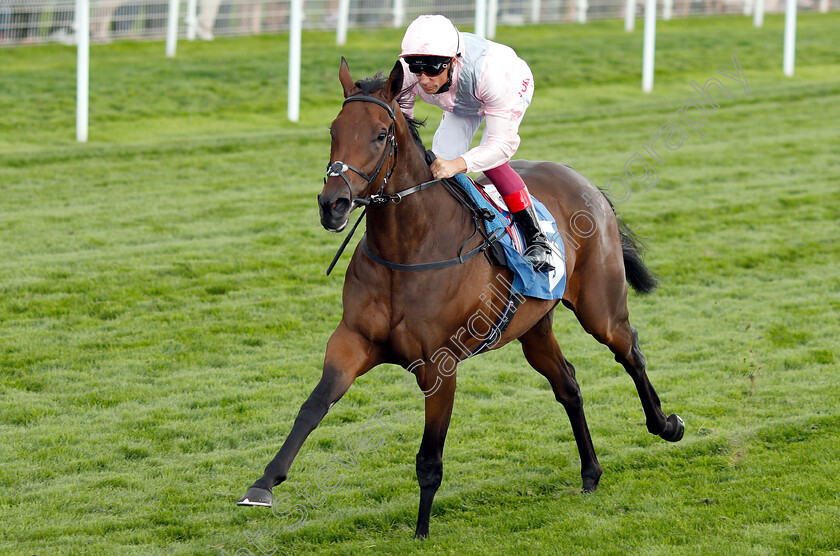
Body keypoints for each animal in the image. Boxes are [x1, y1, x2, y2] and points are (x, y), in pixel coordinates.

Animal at [236, 57, 684, 540]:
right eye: (334, 130)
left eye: (380, 133)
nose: (332, 204)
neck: (408, 249)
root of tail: (587, 184)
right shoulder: (351, 341)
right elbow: (313, 406)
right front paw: (263, 484)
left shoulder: (439, 364)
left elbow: (429, 459)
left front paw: (421, 531)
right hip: (533, 327)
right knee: (568, 384)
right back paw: (590, 473)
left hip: (599, 308)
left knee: (630, 350)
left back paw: (666, 425)